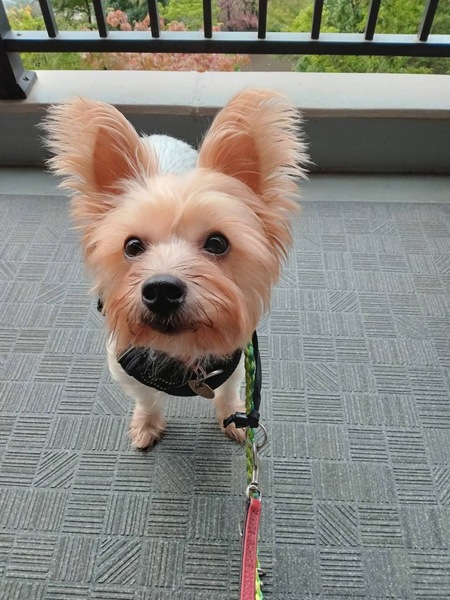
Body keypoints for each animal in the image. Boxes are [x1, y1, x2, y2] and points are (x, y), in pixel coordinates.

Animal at [43, 89, 308, 449]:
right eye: (132, 246)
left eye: (217, 243)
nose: (161, 290)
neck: (183, 352)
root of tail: (159, 137)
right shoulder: (125, 369)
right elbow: (147, 399)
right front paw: (147, 424)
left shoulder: (236, 364)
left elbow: (227, 394)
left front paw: (234, 419)